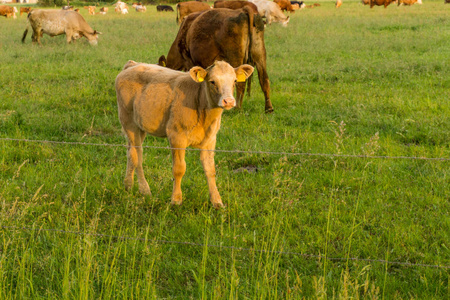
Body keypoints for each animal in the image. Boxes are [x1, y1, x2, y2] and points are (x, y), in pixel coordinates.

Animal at [115, 59, 253, 207]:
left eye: (234, 81)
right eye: (212, 81)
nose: (229, 101)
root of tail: (133, 64)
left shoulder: (210, 139)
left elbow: (210, 170)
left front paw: (217, 202)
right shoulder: (176, 136)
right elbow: (179, 168)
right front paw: (176, 200)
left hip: (139, 126)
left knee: (130, 152)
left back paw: (128, 185)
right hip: (129, 122)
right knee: (137, 156)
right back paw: (144, 189)